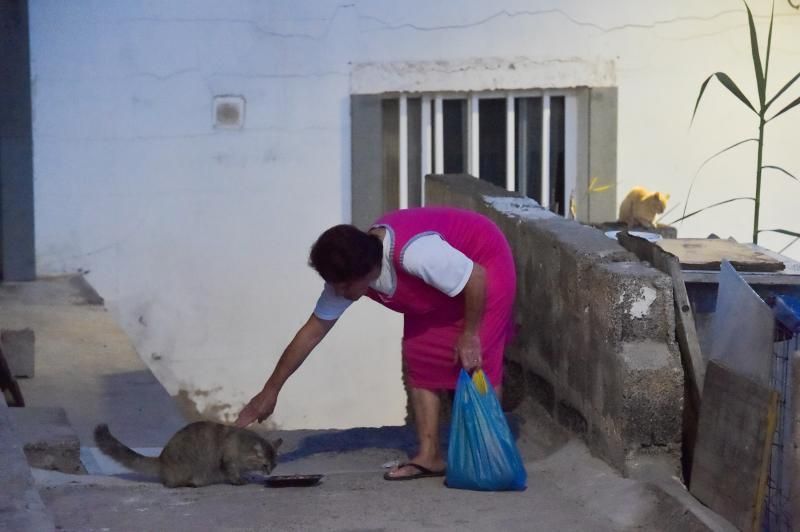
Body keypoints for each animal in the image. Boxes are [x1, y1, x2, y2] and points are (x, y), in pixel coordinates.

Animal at [95, 422, 282, 488]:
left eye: (274, 465)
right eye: (265, 465)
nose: (269, 472)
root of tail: (161, 458)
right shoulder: (228, 461)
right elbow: (233, 474)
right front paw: (239, 480)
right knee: (170, 484)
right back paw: (191, 483)